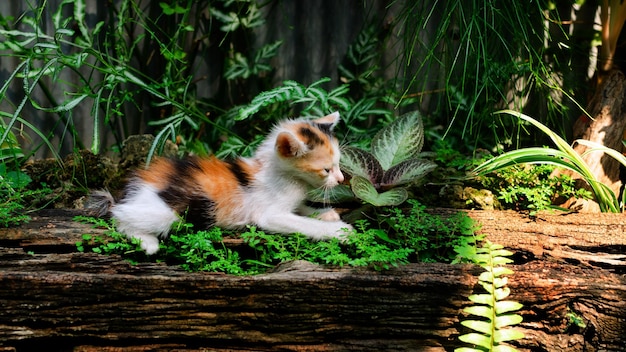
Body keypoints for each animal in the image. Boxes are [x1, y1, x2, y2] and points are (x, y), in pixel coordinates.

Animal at [88, 112, 352, 253]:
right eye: (326, 170)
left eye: (339, 164)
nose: (341, 179)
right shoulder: (268, 215)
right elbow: (301, 223)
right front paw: (338, 231)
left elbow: (301, 208)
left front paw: (326, 213)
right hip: (170, 212)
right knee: (120, 215)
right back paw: (147, 242)